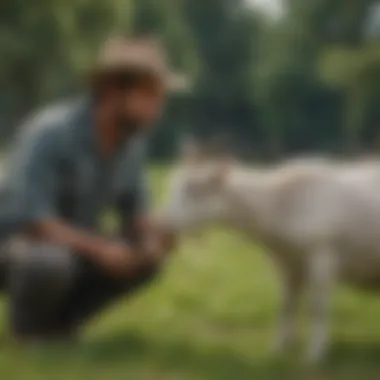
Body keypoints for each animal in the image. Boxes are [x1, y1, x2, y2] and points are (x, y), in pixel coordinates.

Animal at [160, 147, 380, 364]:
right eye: (173, 187)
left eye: (193, 190)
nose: (162, 225)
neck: (281, 204)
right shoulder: (287, 262)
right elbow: (286, 303)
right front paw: (281, 347)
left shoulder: (322, 256)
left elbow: (318, 307)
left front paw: (315, 353)